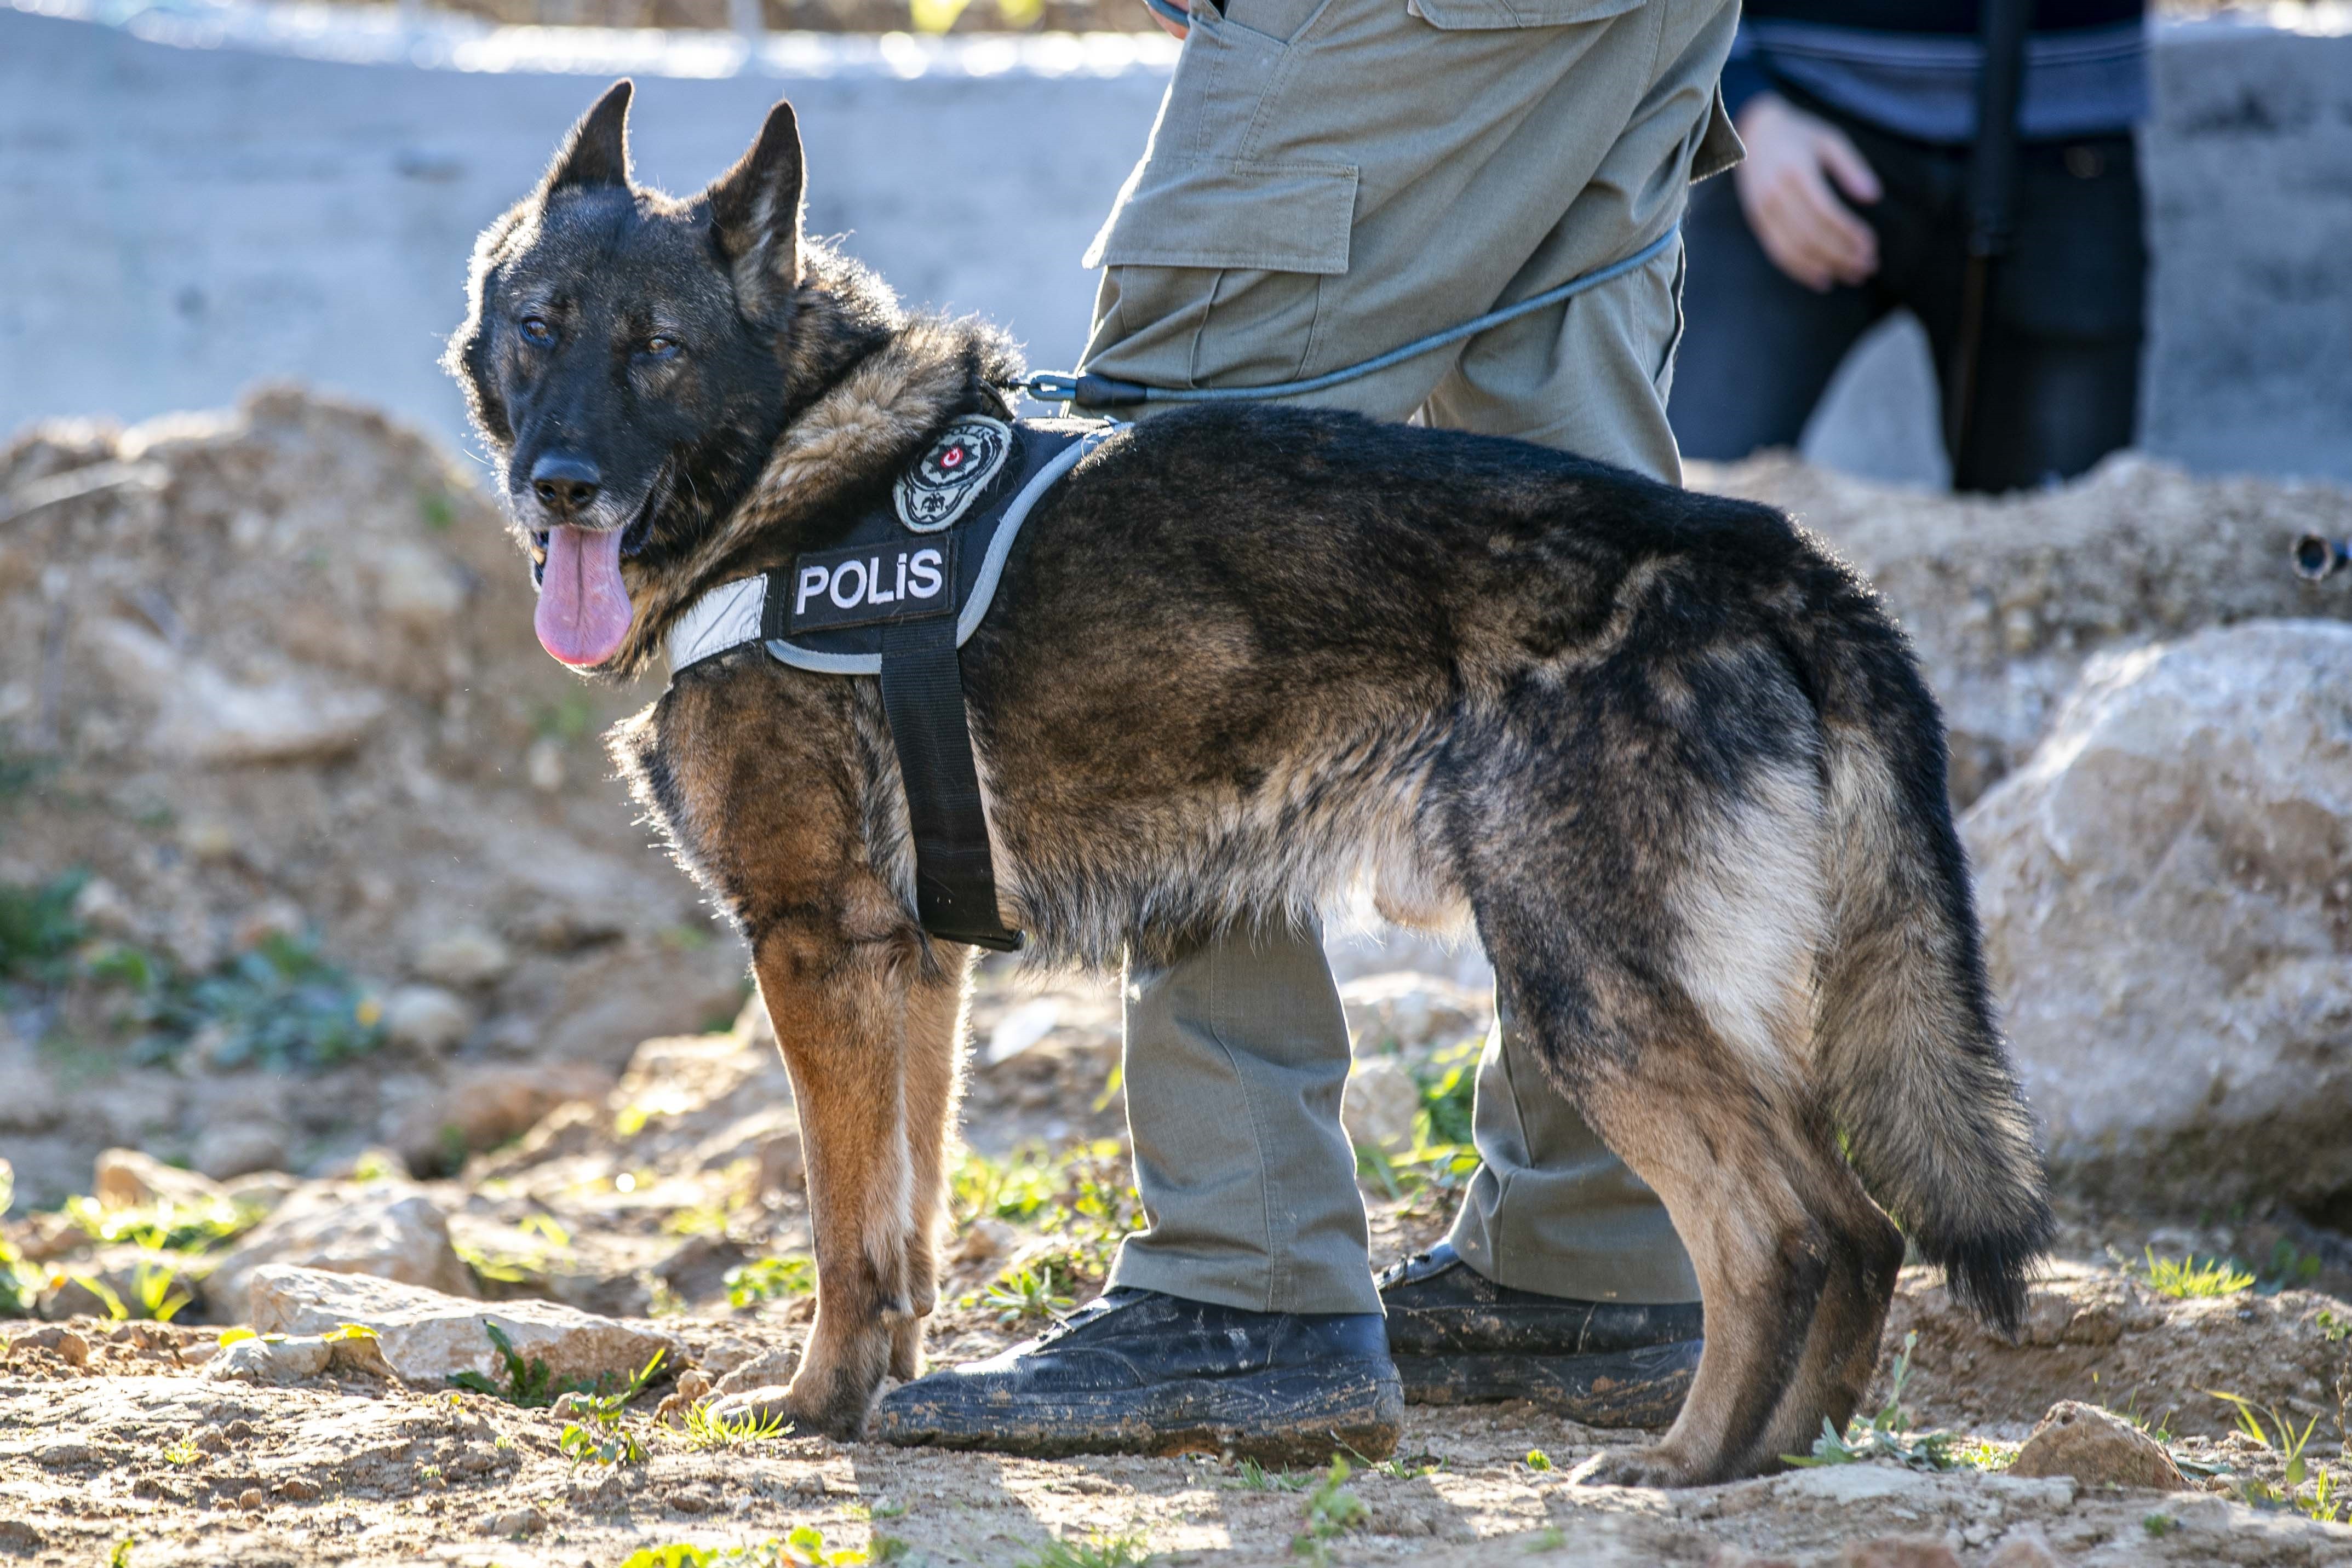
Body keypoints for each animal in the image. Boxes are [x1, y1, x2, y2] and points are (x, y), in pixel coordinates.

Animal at [449, 83, 2051, 1485]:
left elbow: (846, 1231)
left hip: (1583, 980)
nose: (559, 485)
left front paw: (819, 1407)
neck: (795, 458)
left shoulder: (813, 945)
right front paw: (888, 1390)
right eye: (539, 330)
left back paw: (1690, 1461)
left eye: (657, 347)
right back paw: (1794, 1452)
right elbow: (907, 1218)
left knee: (1778, 1228)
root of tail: (1762, 556)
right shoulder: (911, 971)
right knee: (1858, 1227)